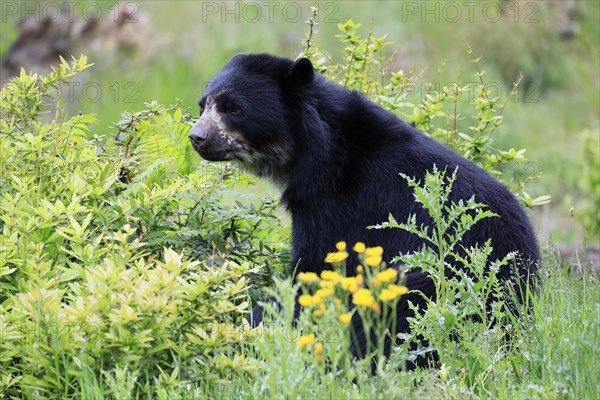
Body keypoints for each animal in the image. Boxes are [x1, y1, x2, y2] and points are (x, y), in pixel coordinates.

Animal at [190, 54, 540, 368]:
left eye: (235, 108)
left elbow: (312, 271)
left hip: (430, 283)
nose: (197, 137)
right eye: (203, 105)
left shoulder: (337, 205)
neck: (315, 153)